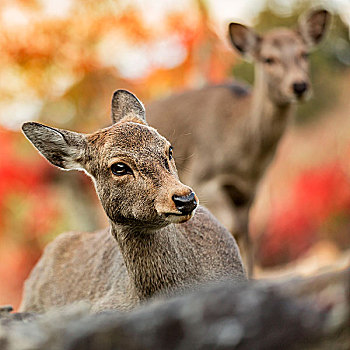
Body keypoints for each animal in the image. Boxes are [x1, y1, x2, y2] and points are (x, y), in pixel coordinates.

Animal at [146, 8, 330, 276]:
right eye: (268, 59)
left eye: (304, 53)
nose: (299, 85)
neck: (245, 158)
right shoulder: (203, 175)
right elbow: (230, 226)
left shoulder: (249, 189)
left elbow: (246, 231)